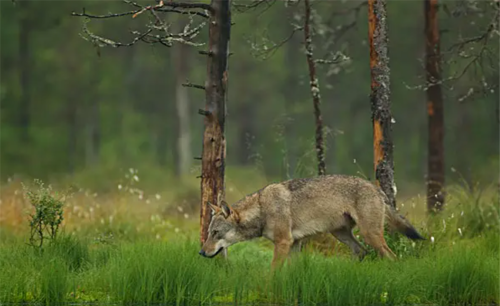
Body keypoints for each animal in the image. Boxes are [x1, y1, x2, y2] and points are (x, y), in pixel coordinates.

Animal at [197, 175, 424, 268]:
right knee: (361, 252)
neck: (262, 208)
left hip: (370, 235)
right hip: (340, 234)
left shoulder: (284, 242)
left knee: (391, 257)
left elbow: (272, 270)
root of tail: (377, 189)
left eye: (215, 233)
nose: (200, 252)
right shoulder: (295, 244)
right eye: (209, 233)